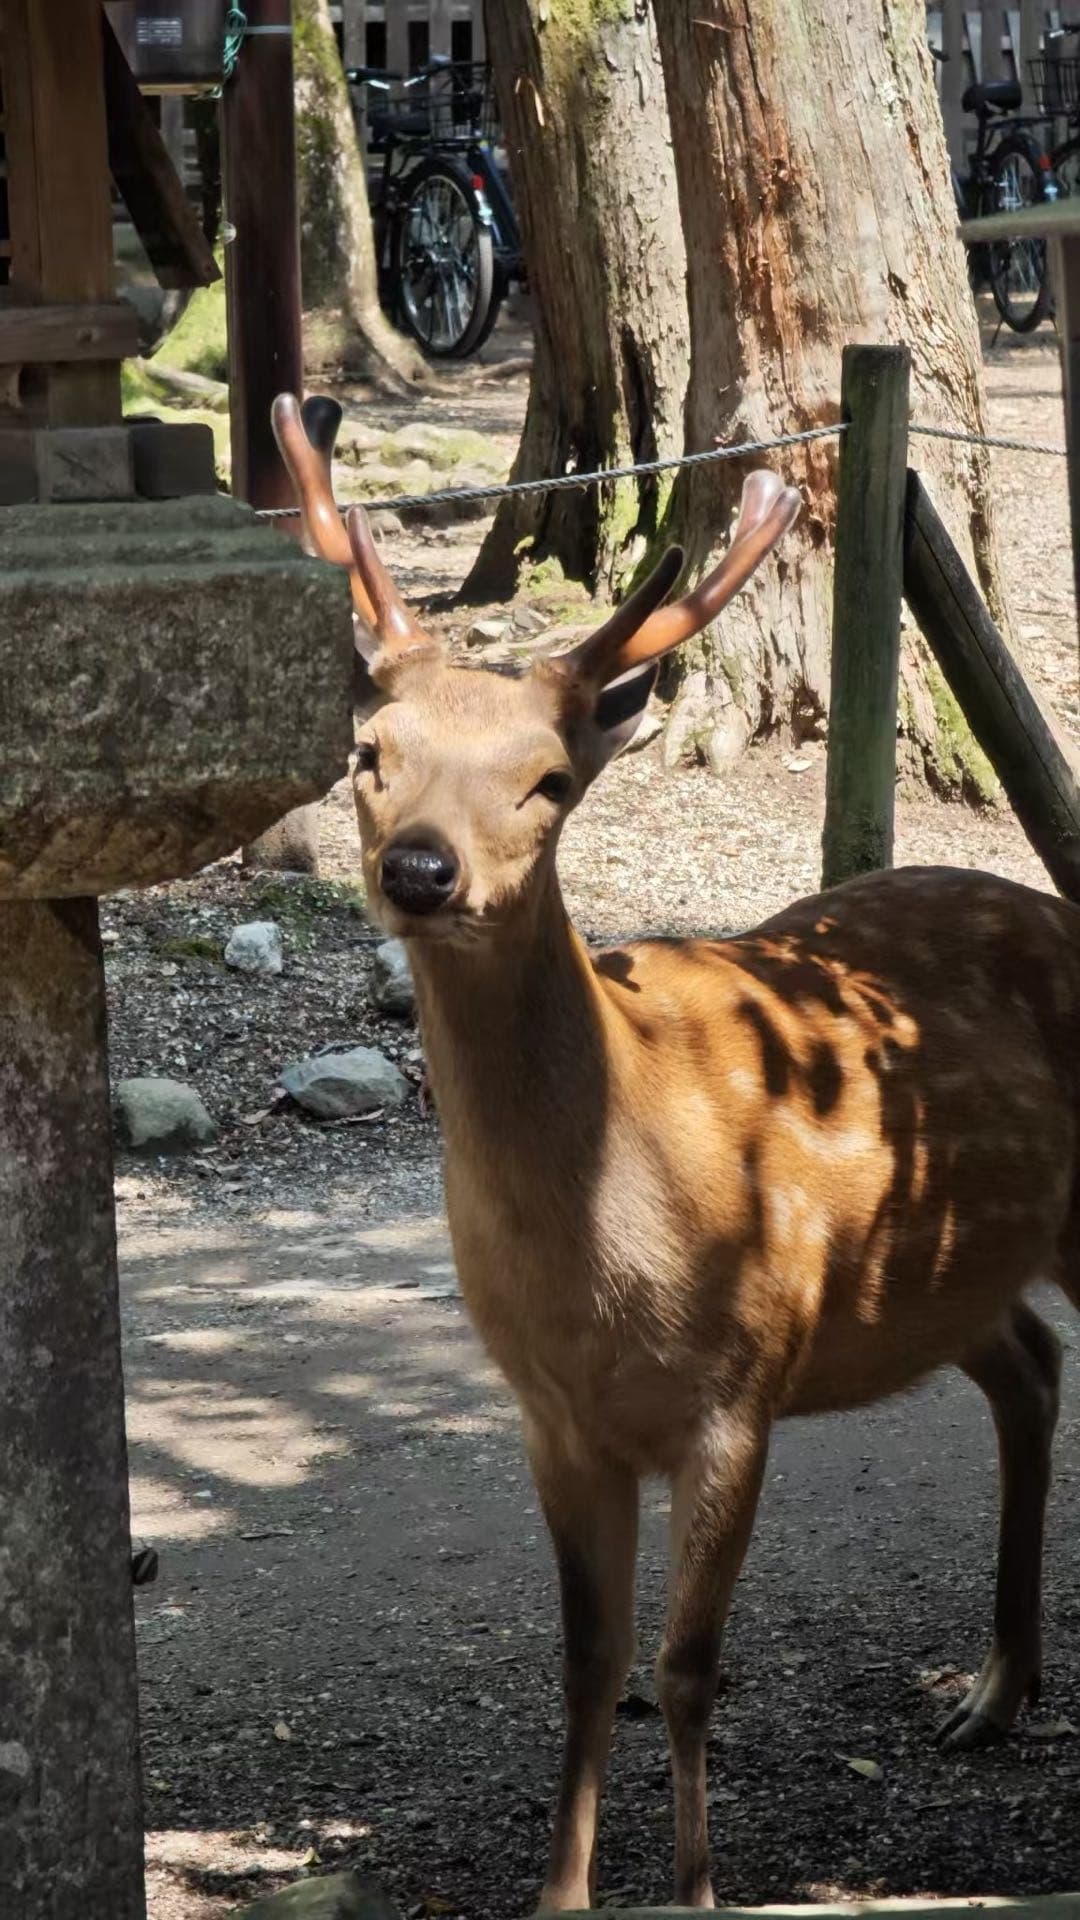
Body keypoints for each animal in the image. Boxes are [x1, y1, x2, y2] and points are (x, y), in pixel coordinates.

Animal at [272, 390, 1080, 1911]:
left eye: (547, 781)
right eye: (368, 757)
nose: (420, 869)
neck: (606, 1273)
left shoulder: (739, 1390)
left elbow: (688, 1666)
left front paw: (702, 1885)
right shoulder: (553, 1419)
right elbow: (591, 1667)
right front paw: (560, 1891)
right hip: (945, 1277)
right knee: (1029, 1361)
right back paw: (993, 1690)